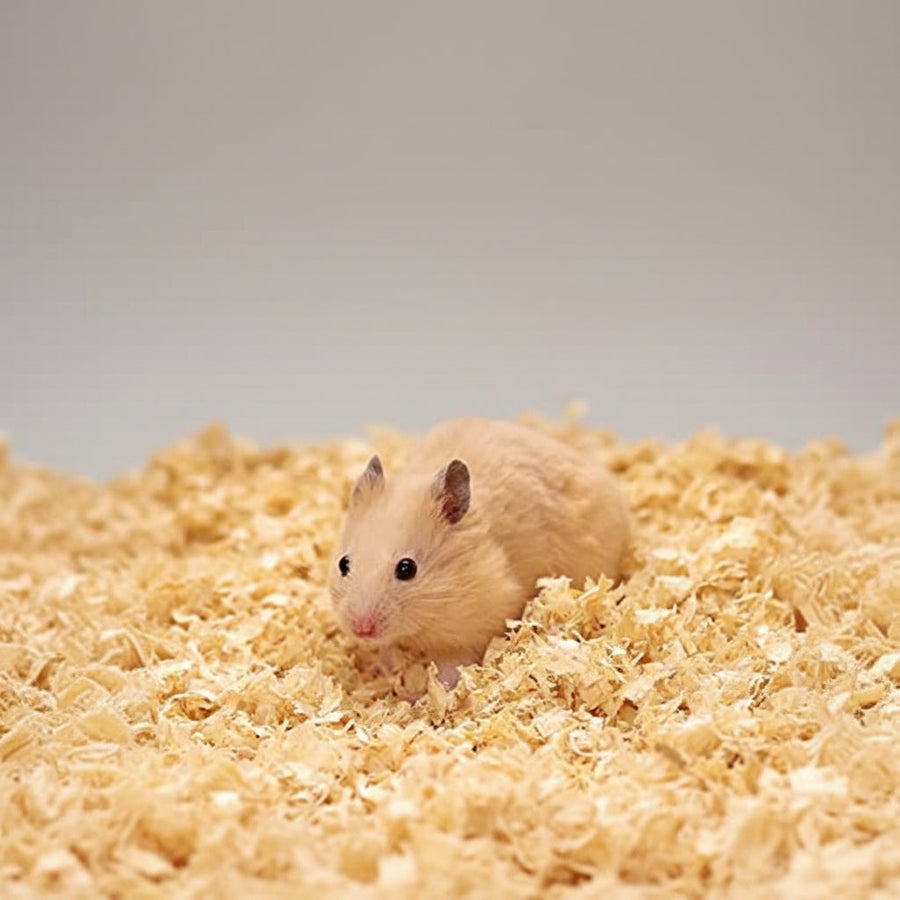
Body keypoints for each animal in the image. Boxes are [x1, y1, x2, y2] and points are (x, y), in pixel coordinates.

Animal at [328, 417, 630, 689]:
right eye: (344, 564)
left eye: (407, 568)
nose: (361, 628)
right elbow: (390, 652)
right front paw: (392, 674)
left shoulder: (480, 623)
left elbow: (453, 664)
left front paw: (428, 694)